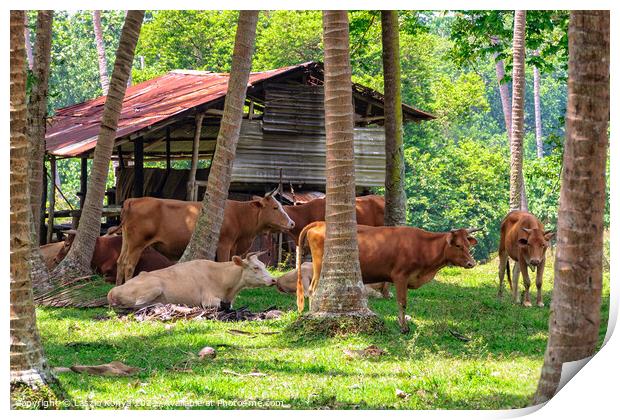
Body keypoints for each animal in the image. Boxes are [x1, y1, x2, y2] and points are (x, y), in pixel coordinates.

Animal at [107, 251, 276, 310]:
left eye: (263, 265)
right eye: (255, 267)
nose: (273, 280)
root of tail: (113, 290)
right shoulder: (208, 300)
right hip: (155, 287)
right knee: (138, 305)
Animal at [116, 191, 296, 286]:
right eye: (275, 207)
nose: (292, 223)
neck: (239, 215)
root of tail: (133, 200)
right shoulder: (224, 244)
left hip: (126, 242)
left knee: (120, 262)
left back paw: (118, 286)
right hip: (137, 244)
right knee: (129, 265)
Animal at [296, 221, 480, 334]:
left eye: (468, 244)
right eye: (458, 245)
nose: (471, 263)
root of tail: (320, 222)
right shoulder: (400, 276)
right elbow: (402, 302)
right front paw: (403, 327)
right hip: (320, 267)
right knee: (312, 290)